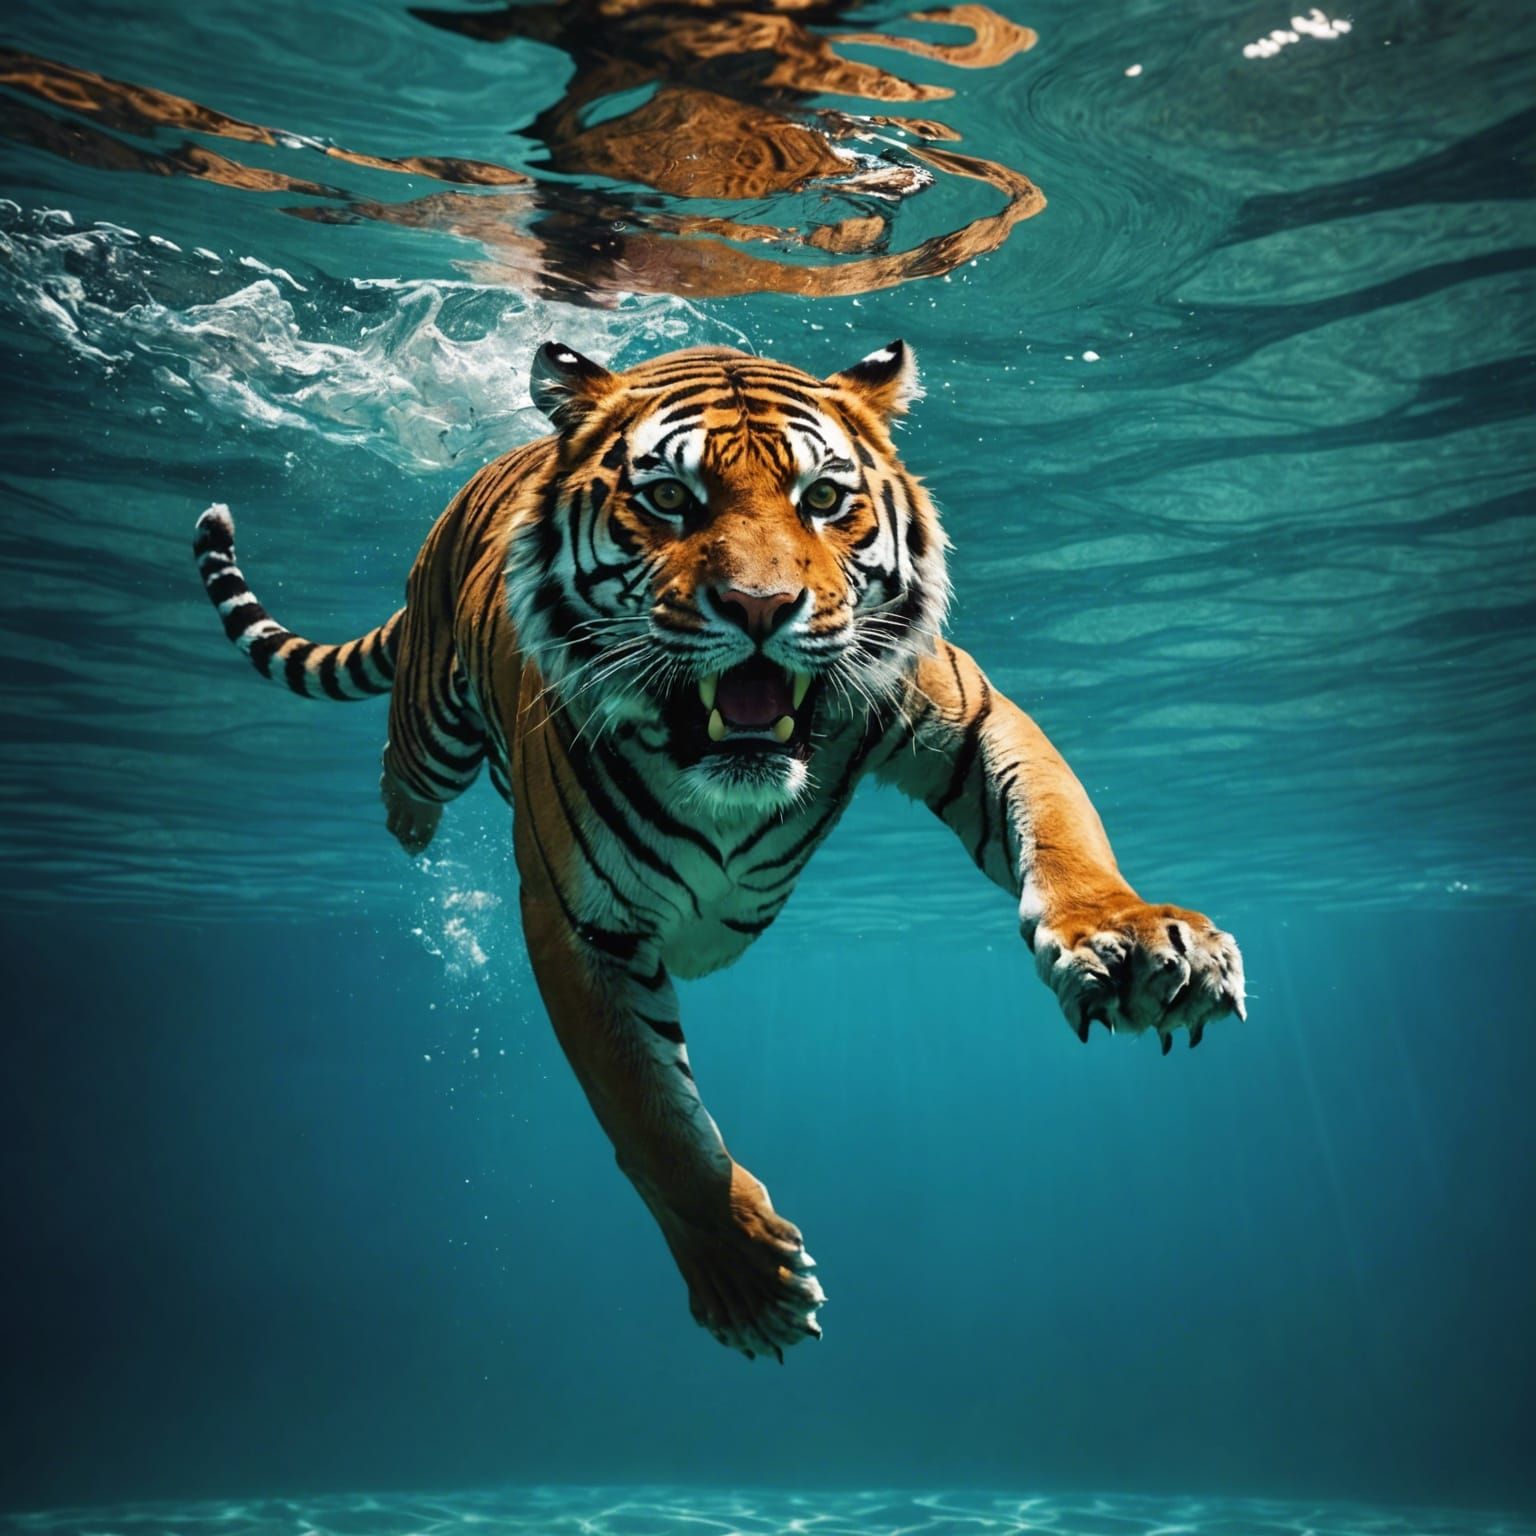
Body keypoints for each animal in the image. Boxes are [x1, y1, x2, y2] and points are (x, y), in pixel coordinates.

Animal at [193, 341, 1246, 1361]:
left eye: (822, 498)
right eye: (669, 498)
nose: (761, 607)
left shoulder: (964, 712)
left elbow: (1060, 825)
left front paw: (1140, 947)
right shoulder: (579, 926)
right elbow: (654, 1119)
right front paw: (750, 1284)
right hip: (433, 724)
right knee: (403, 770)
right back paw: (409, 832)